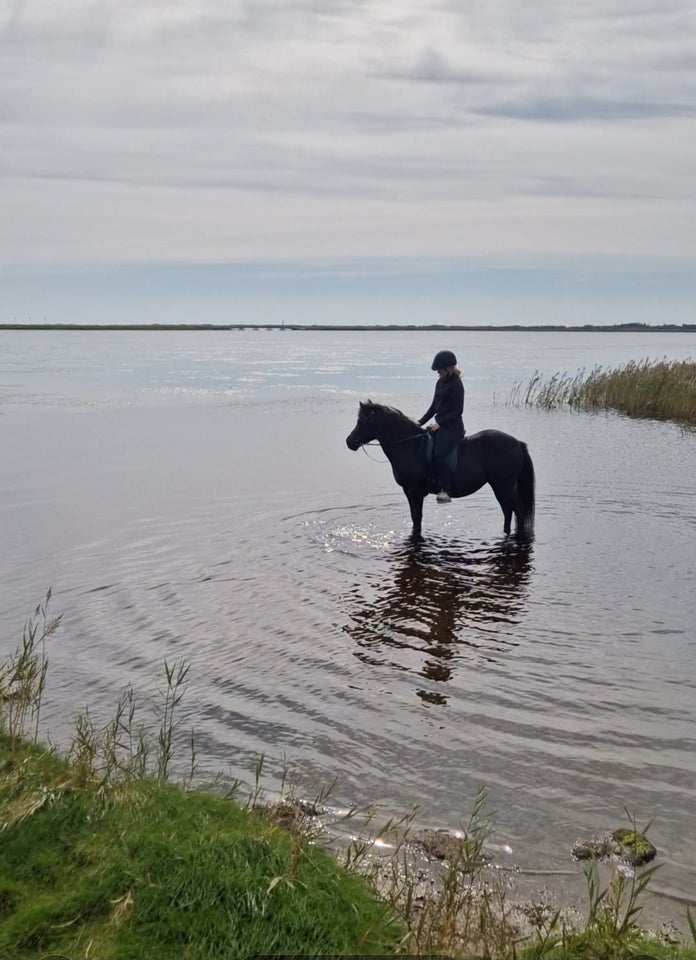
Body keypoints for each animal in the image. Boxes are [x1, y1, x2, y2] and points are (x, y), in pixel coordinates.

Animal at [346, 400, 536, 540]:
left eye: (362, 421)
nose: (349, 441)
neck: (410, 445)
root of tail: (517, 443)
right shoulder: (411, 492)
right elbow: (416, 518)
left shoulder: (413, 490)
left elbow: (416, 517)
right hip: (501, 486)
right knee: (508, 510)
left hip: (503, 485)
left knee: (518, 508)